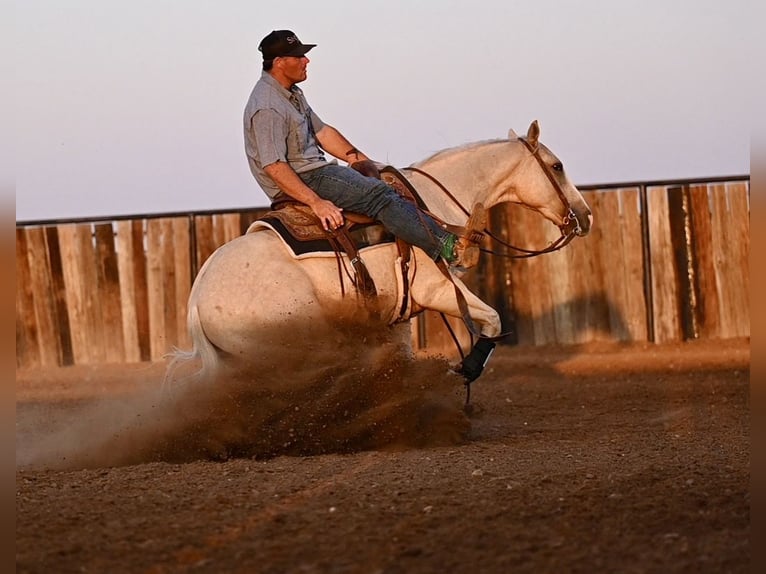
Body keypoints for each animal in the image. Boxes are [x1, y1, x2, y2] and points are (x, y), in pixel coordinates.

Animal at [168, 121, 592, 390]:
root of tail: (197, 296)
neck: (430, 205)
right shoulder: (439, 290)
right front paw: (465, 370)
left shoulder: (397, 315)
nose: (585, 215)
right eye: (557, 166)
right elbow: (491, 321)